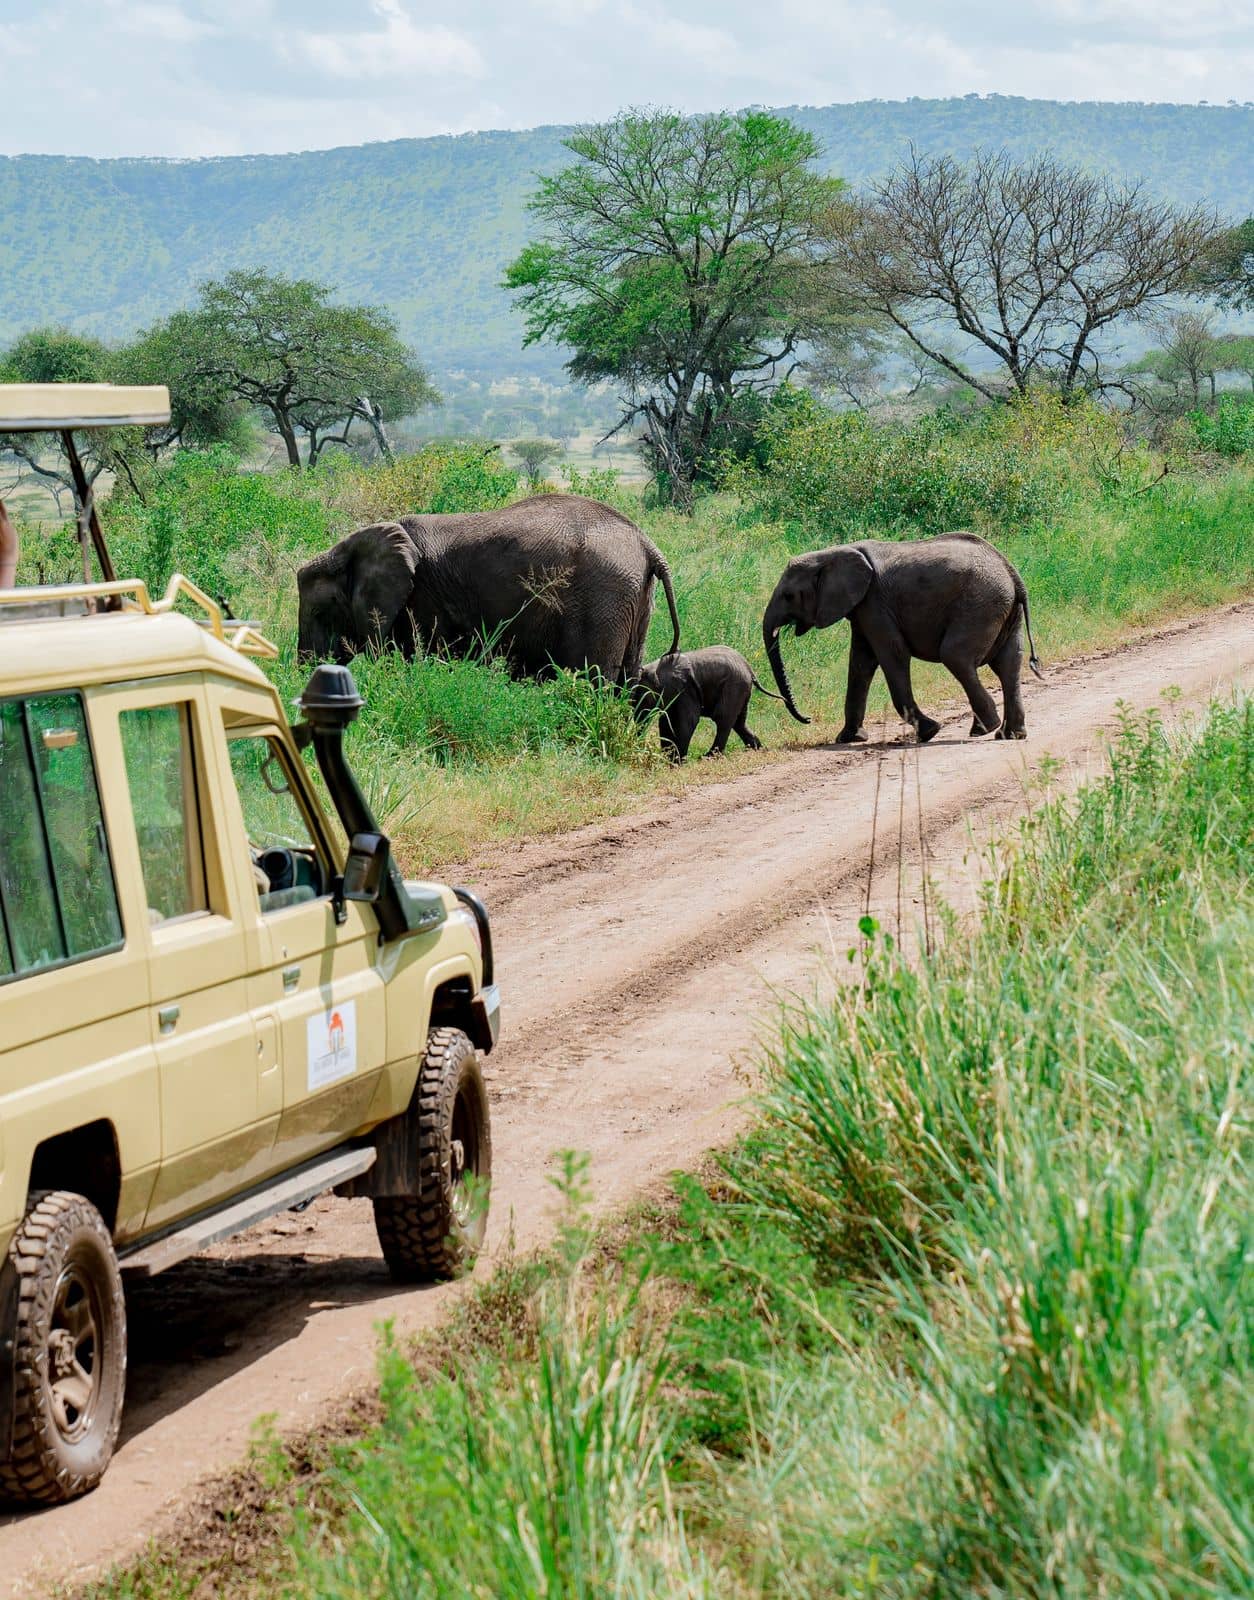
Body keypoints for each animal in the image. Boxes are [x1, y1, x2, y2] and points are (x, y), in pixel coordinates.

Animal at [297, 494, 680, 681]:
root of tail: (646, 543)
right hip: (632, 597)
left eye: (319, 611)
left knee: (593, 677)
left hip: (603, 597)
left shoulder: (421, 600)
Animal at [632, 645, 783, 761]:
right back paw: (755, 748)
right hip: (742, 689)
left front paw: (677, 762)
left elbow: (688, 721)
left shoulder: (686, 689)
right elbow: (666, 722)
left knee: (723, 719)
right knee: (739, 722)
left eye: (644, 699)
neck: (657, 669)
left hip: (734, 686)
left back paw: (709, 757)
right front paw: (668, 758)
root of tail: (749, 668)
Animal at [762, 532, 1042, 743]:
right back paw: (1009, 735)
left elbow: (892, 654)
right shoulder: (863, 607)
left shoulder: (874, 601)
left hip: (979, 605)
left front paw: (930, 732)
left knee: (955, 656)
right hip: (1003, 609)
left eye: (788, 596)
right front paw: (848, 739)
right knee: (1008, 663)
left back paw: (985, 728)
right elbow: (860, 663)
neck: (832, 553)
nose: (807, 719)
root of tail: (1012, 573)